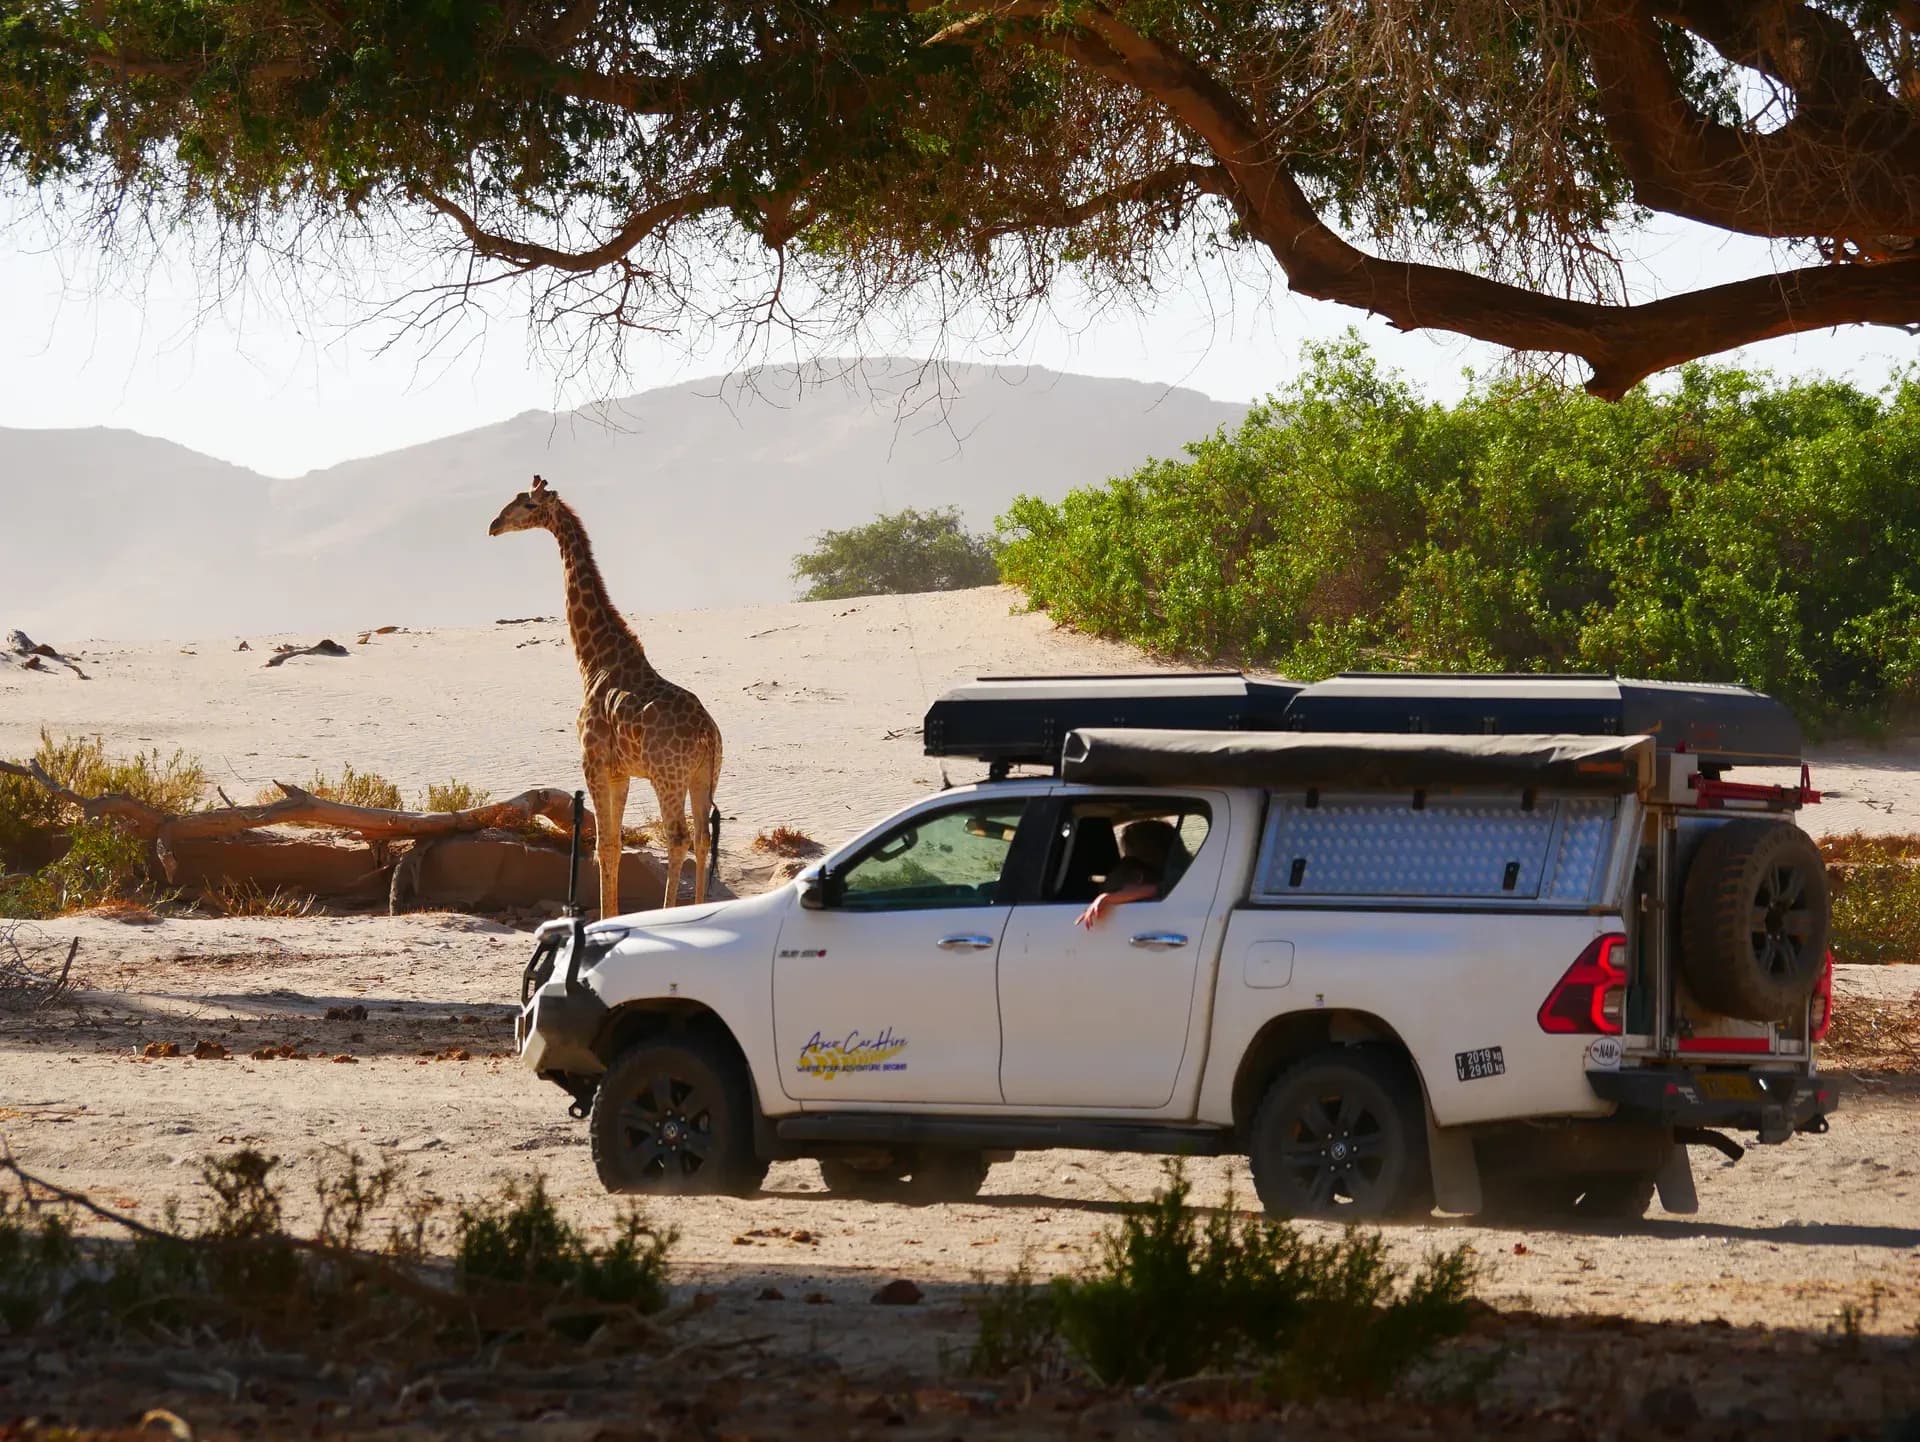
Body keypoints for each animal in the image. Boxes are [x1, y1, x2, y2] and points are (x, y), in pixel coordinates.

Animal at [488, 475, 723, 911]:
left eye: (528, 505)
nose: (494, 525)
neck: (594, 659)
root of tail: (707, 736)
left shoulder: (593, 761)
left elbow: (605, 844)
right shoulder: (620, 771)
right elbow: (611, 844)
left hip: (668, 776)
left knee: (678, 837)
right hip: (705, 775)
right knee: (701, 838)